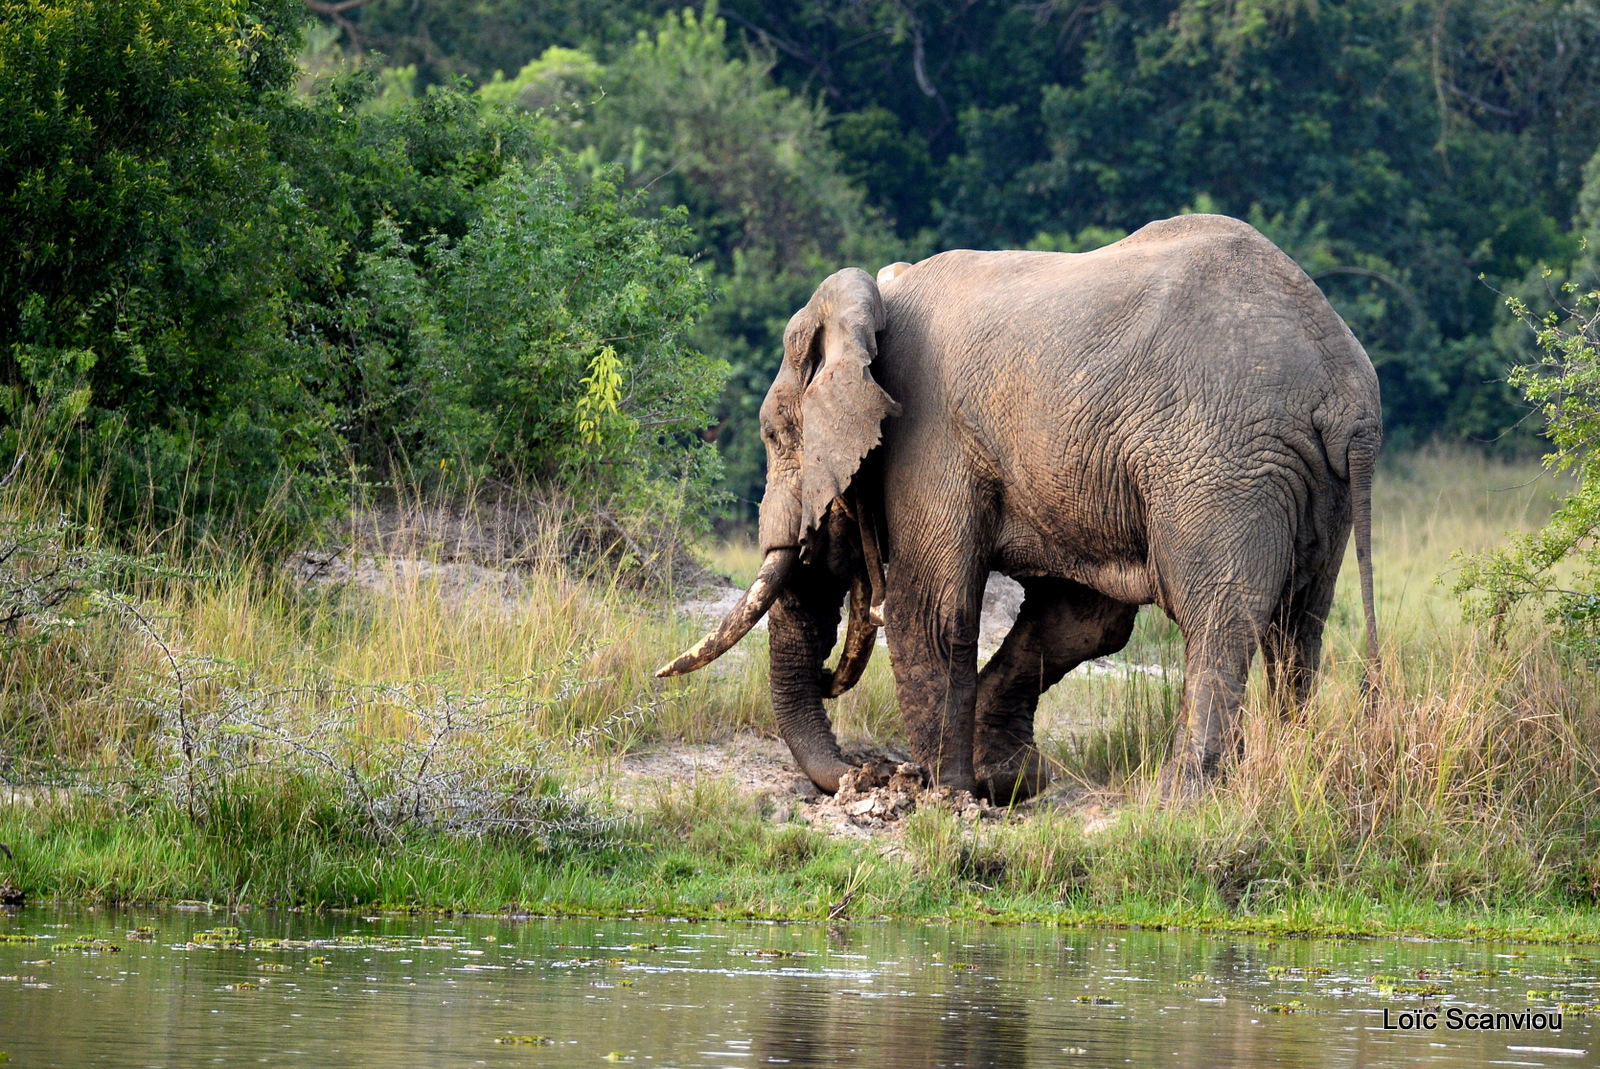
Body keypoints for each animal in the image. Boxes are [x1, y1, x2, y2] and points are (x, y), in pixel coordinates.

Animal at [656, 214, 1382, 800]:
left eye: (773, 434)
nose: (867, 774)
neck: (875, 307)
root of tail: (1345, 389)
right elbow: (1083, 622)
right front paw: (1005, 780)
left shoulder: (931, 436)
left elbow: (930, 605)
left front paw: (943, 794)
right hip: (1308, 482)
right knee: (1299, 623)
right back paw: (1285, 773)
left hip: (1220, 461)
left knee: (1221, 615)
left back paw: (1180, 801)